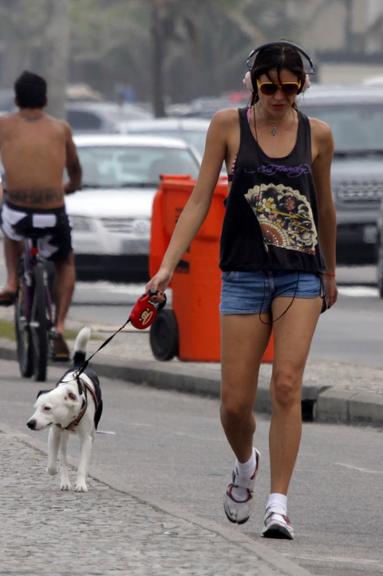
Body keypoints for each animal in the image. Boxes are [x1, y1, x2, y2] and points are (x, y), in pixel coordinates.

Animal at [26, 326, 103, 492]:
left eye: (47, 408)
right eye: (36, 408)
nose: (30, 423)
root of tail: (79, 366)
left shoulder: (86, 438)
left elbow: (82, 464)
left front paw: (80, 484)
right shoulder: (55, 432)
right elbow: (55, 463)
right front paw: (53, 471)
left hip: (93, 433)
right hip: (64, 436)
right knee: (63, 456)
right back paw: (65, 482)